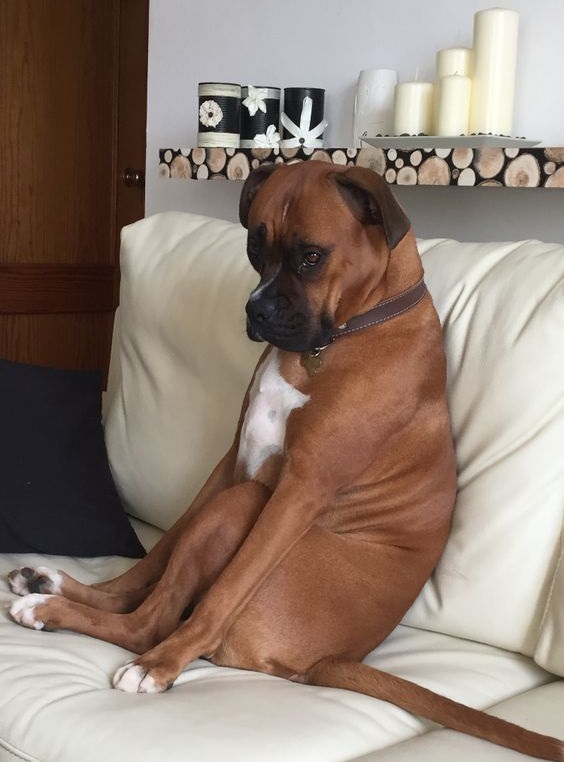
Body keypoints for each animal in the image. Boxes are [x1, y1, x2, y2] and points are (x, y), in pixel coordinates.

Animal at [6, 163, 560, 756]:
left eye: (311, 256)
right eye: (255, 245)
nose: (256, 309)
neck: (343, 335)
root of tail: (323, 661)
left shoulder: (297, 491)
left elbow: (221, 591)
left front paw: (163, 665)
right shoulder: (229, 462)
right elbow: (152, 558)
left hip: (242, 509)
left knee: (151, 622)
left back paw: (87, 628)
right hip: (227, 499)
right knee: (147, 588)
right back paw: (49, 585)